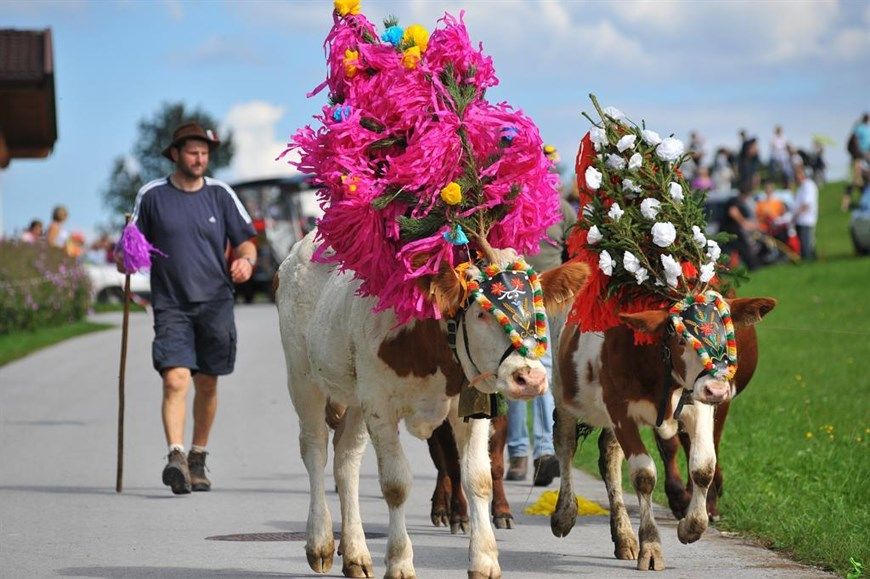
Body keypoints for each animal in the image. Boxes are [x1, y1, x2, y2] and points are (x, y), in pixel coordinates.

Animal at [276, 232, 588, 579]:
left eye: (537, 307)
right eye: (480, 312)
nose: (530, 377)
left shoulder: (469, 409)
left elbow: (478, 477)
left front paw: (484, 560)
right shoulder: (380, 407)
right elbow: (396, 484)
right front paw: (399, 562)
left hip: (355, 398)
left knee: (346, 459)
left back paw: (356, 554)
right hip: (303, 378)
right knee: (314, 449)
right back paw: (319, 543)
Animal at [552, 300, 776, 572]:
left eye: (728, 333)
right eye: (680, 340)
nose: (717, 389)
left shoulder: (698, 405)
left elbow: (703, 467)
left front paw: (692, 526)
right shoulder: (620, 412)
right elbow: (644, 475)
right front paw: (651, 547)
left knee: (609, 456)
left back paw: (624, 538)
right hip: (563, 392)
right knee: (565, 444)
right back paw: (564, 514)